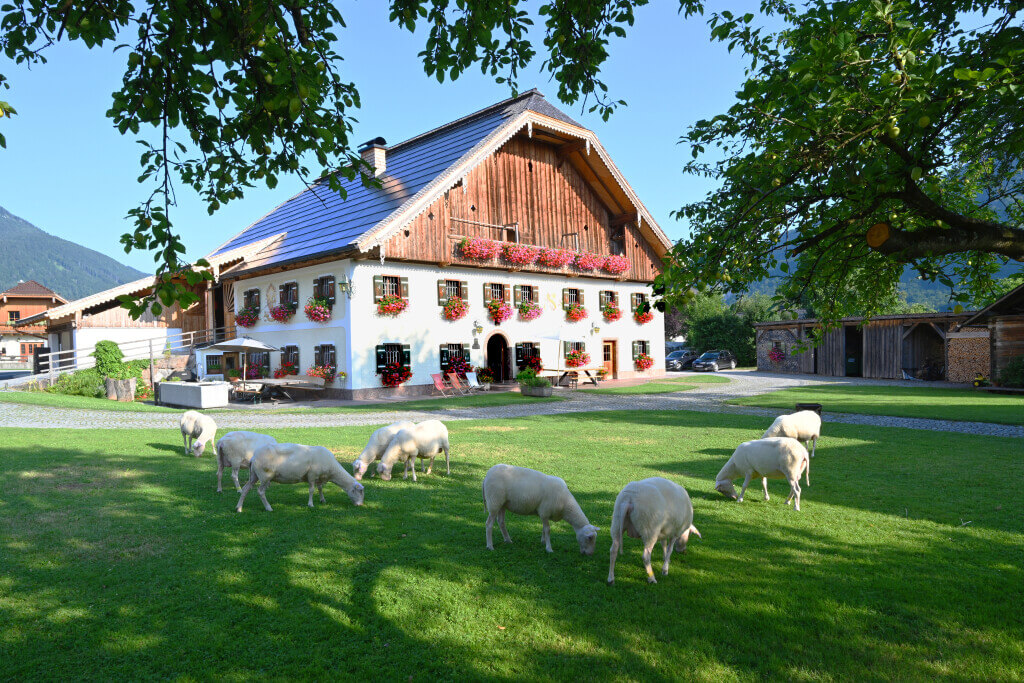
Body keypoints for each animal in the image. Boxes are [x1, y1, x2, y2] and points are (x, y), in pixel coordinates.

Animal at [236, 444, 368, 511]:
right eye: (360, 492)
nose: (360, 505)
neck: (332, 470)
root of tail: (253, 457)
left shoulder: (319, 477)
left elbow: (320, 488)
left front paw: (322, 500)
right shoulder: (312, 475)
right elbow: (311, 490)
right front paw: (310, 504)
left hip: (254, 475)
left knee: (246, 489)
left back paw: (239, 508)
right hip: (265, 476)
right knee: (260, 492)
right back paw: (269, 508)